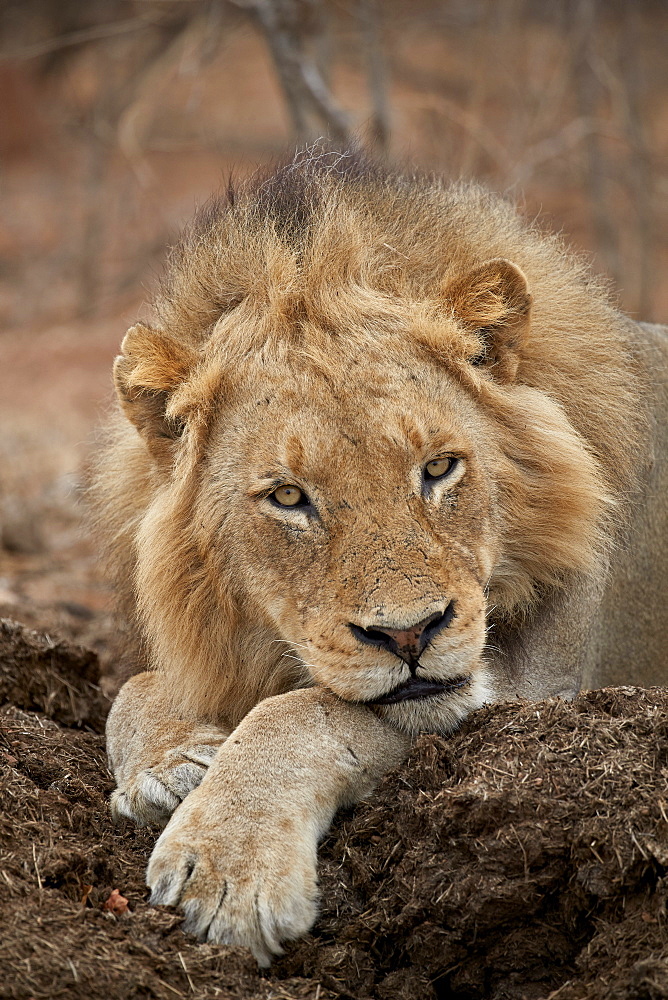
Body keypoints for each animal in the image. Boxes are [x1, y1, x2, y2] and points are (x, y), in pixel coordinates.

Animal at [95, 150, 668, 968]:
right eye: (289, 496)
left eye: (439, 468)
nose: (409, 635)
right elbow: (134, 687)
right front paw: (172, 764)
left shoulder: (533, 688)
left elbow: (303, 711)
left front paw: (228, 863)